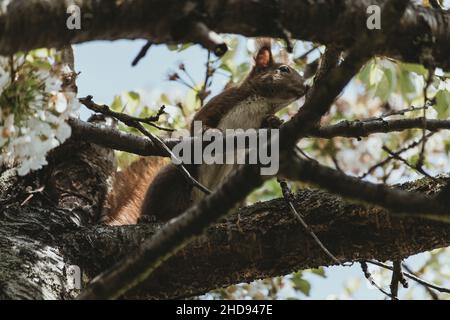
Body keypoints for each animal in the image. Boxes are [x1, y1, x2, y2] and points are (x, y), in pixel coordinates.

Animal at [102, 38, 306, 225]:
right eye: (284, 69)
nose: (306, 87)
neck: (262, 102)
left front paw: (275, 122)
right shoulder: (223, 101)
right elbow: (200, 121)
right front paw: (211, 133)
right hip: (175, 176)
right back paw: (148, 217)